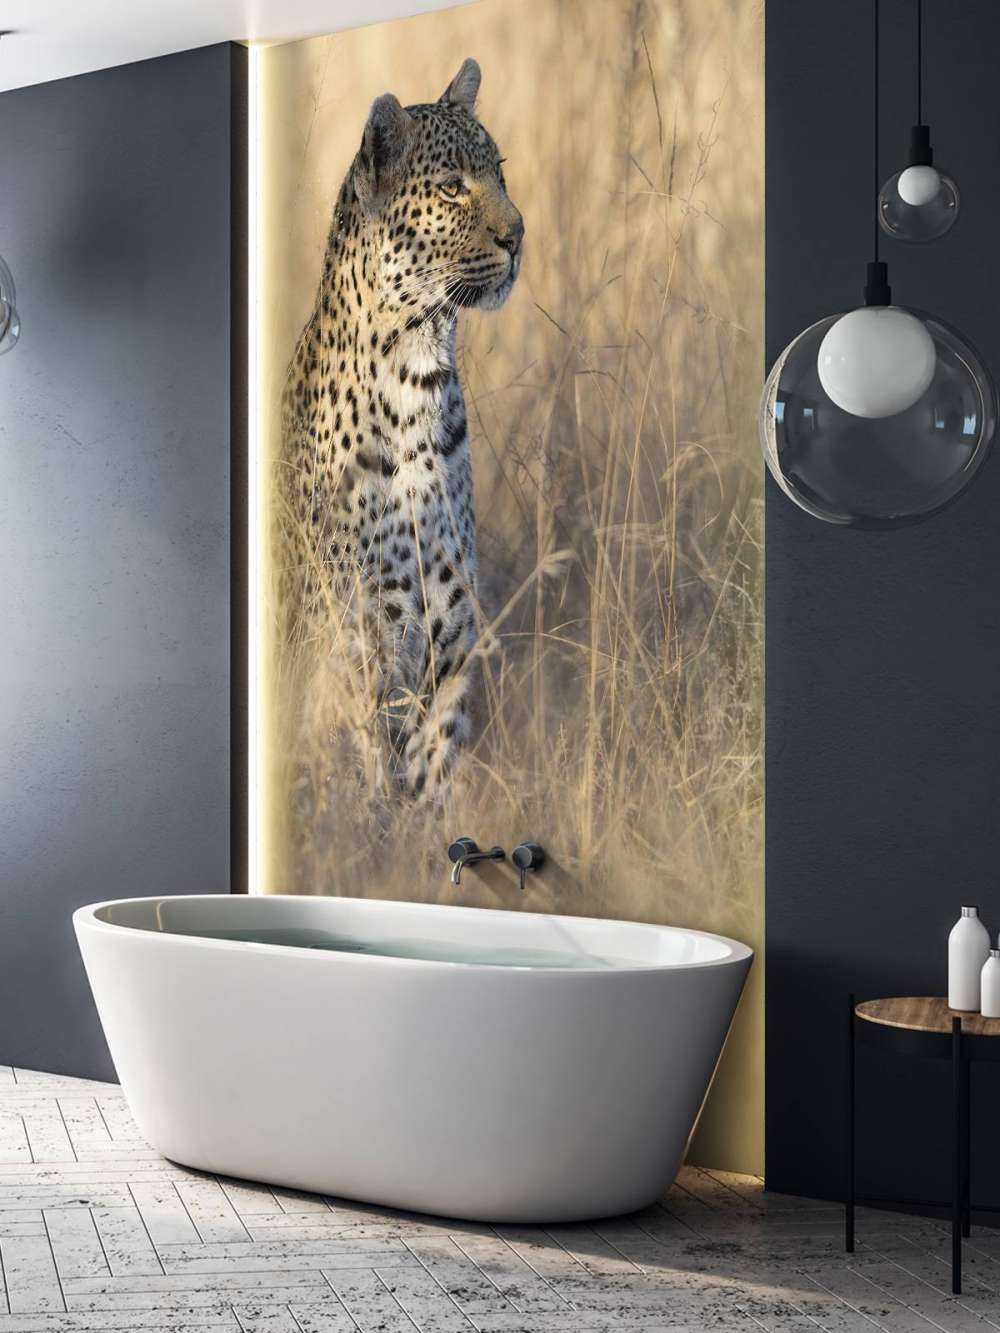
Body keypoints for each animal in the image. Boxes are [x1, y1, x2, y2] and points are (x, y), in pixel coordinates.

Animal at [280, 58, 523, 799]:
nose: (519, 235)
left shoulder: (453, 613)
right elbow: (366, 766)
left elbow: (436, 754)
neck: (420, 373)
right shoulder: (365, 626)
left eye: (500, 172)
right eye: (451, 187)